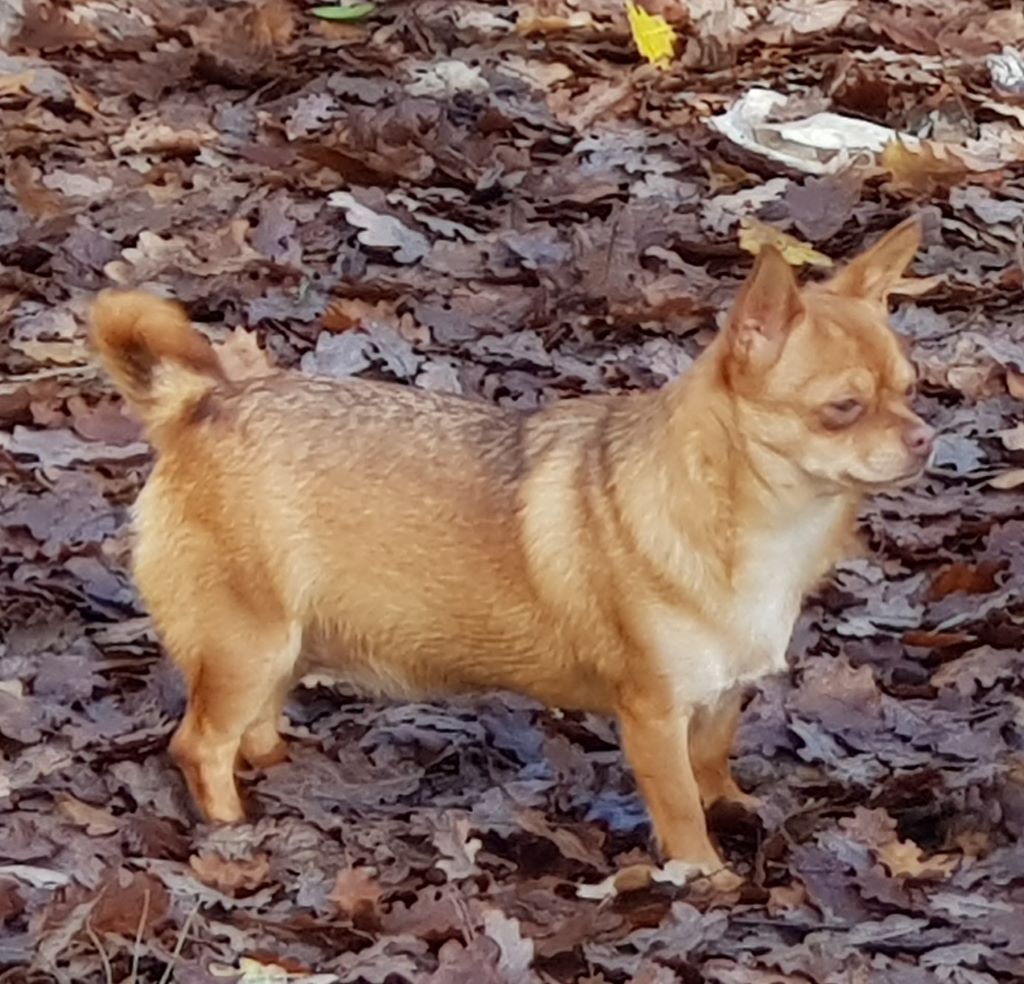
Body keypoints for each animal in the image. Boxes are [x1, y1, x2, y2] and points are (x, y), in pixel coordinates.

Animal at [90, 219, 937, 872]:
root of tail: (200, 401)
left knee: (255, 727)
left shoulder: (720, 695)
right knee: (201, 745)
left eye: (912, 389)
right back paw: (232, 830)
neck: (764, 526)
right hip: (247, 643)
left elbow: (712, 766)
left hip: (278, 646)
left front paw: (738, 807)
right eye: (842, 409)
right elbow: (680, 809)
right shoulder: (652, 715)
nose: (926, 437)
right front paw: (709, 879)